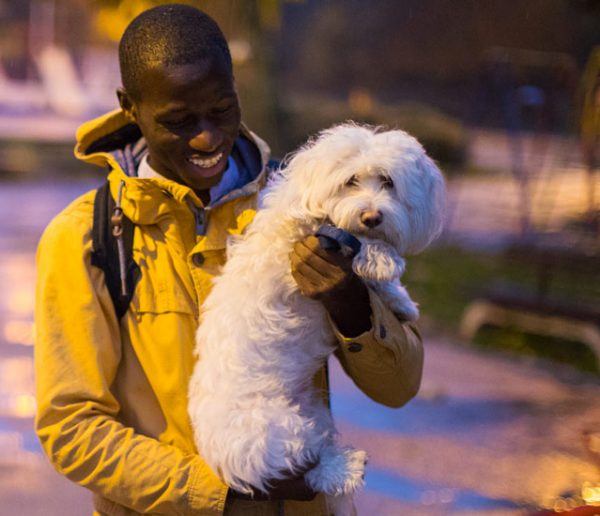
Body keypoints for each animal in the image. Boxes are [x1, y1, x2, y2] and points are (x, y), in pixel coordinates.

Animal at [188, 123, 446, 512]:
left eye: (388, 182)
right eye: (350, 181)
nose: (372, 217)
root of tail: (219, 460)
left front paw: (399, 301)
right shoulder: (299, 238)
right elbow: (354, 240)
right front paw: (383, 259)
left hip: (310, 414)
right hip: (280, 433)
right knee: (310, 465)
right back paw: (346, 467)